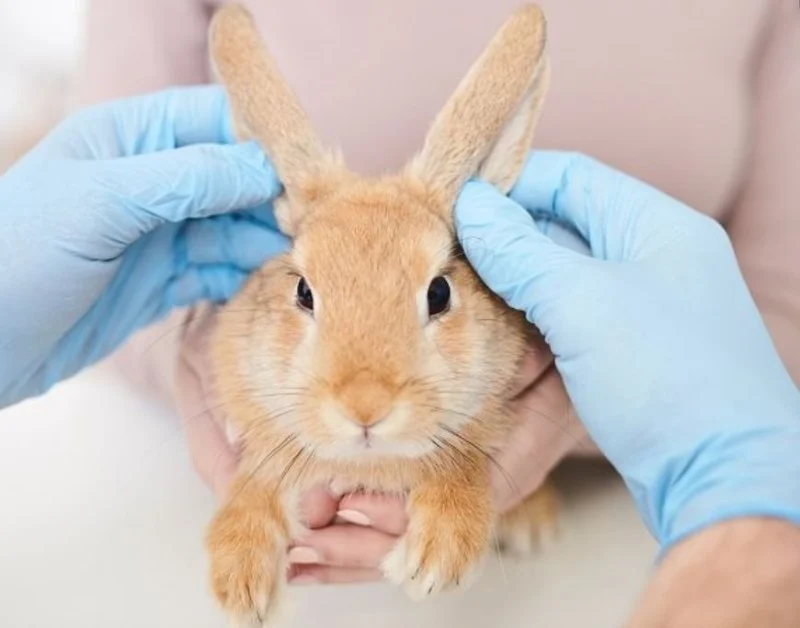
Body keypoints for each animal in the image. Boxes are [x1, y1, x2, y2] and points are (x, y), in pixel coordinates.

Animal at [206, 4, 558, 626]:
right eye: (304, 292)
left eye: (439, 292)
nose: (365, 406)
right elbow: (257, 479)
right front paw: (241, 582)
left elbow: (460, 461)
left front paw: (436, 558)